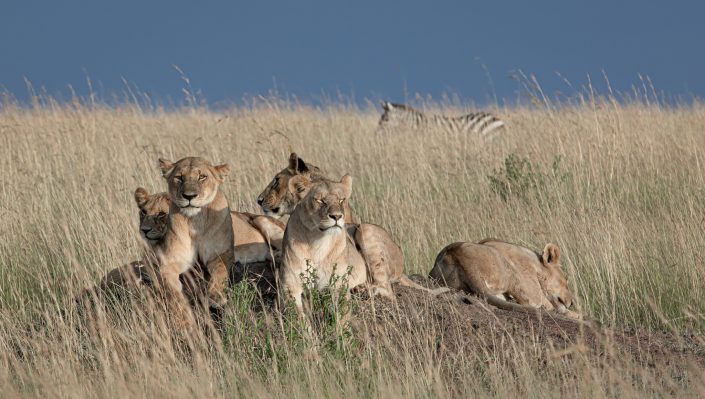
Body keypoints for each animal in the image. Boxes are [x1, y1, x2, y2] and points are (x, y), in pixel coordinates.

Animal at [280, 173, 440, 318]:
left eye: (341, 200)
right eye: (320, 200)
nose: (337, 216)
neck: (317, 242)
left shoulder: (338, 285)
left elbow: (342, 316)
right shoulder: (289, 287)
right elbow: (297, 317)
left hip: (365, 230)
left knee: (387, 290)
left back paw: (362, 289)